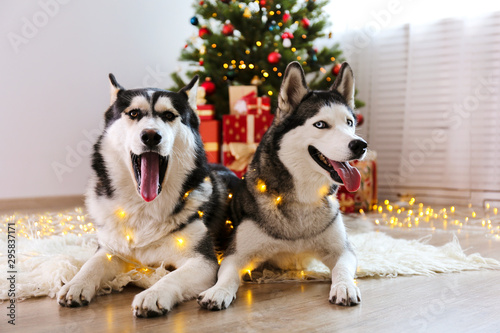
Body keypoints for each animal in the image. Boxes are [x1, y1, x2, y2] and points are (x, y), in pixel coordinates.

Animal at [57, 74, 235, 316]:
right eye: (134, 113)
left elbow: (171, 277)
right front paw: (76, 283)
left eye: (169, 115)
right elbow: (91, 264)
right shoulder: (110, 250)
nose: (151, 135)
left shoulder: (202, 261)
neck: (144, 208)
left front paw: (153, 294)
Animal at [199, 61, 368, 308]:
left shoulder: (342, 250)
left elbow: (342, 268)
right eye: (320, 124)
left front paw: (344, 286)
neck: (302, 200)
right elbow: (228, 275)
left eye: (349, 123)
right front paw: (217, 291)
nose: (360, 145)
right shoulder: (236, 255)